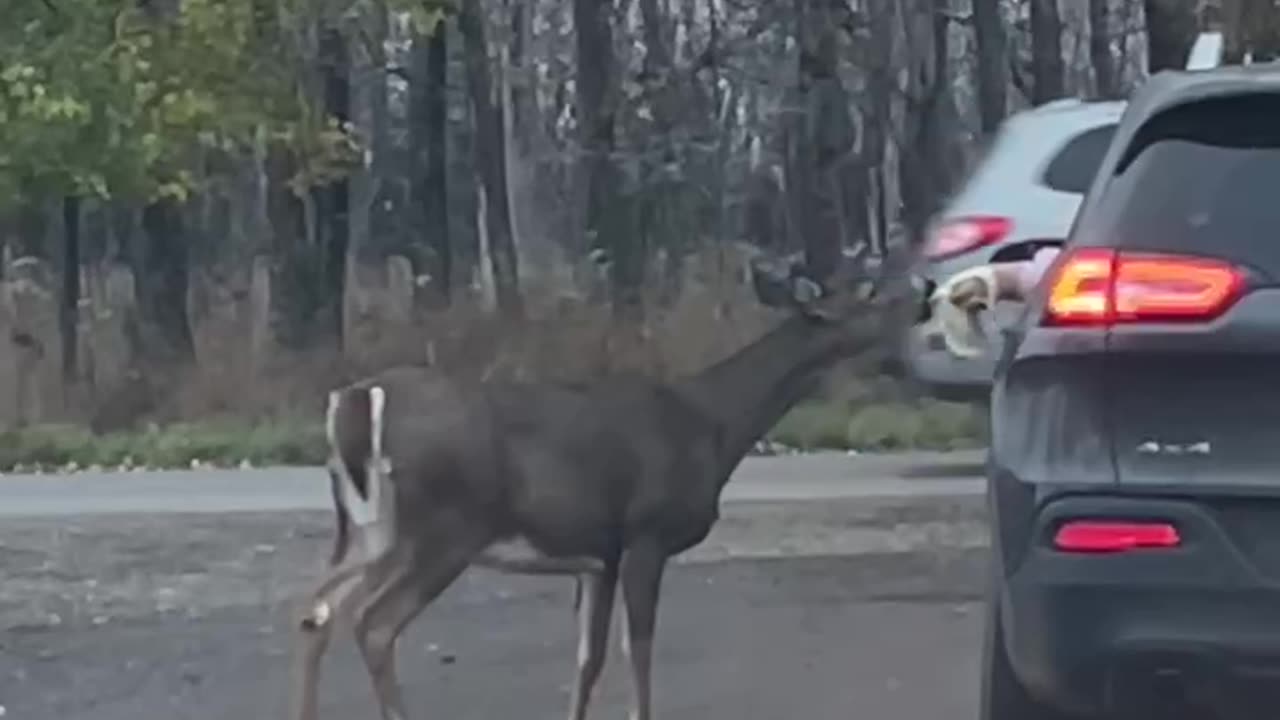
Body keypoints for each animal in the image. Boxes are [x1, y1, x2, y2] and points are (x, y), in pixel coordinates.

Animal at [289, 245, 911, 717]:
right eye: (867, 293)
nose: (923, 292)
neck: (712, 423)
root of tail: (355, 402)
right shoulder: (645, 534)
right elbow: (639, 648)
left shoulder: (598, 556)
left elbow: (589, 659)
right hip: (441, 528)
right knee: (372, 623)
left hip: (364, 527)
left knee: (319, 613)